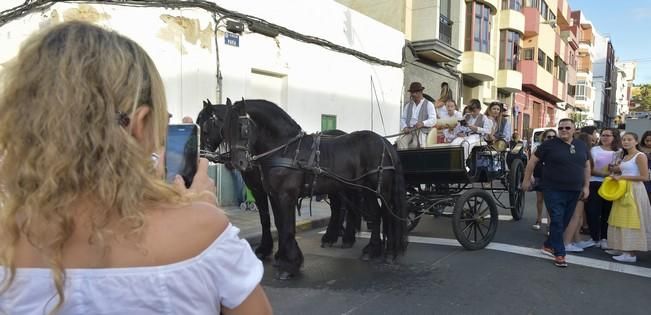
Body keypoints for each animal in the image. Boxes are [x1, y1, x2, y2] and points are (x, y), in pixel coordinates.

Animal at [199, 100, 362, 260]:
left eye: (206, 126)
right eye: (225, 130)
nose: (202, 153)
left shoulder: (266, 190)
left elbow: (271, 218)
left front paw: (270, 250)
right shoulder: (265, 190)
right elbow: (273, 220)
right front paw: (275, 250)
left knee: (344, 208)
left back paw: (344, 237)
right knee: (339, 207)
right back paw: (334, 236)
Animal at [224, 98, 408, 278]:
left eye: (242, 128)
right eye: (226, 129)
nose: (238, 163)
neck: (285, 149)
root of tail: (385, 142)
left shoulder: (285, 196)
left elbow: (287, 227)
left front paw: (288, 265)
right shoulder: (274, 195)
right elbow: (280, 224)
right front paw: (286, 259)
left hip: (380, 190)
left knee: (387, 216)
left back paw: (388, 252)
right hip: (366, 190)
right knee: (376, 215)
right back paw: (372, 250)